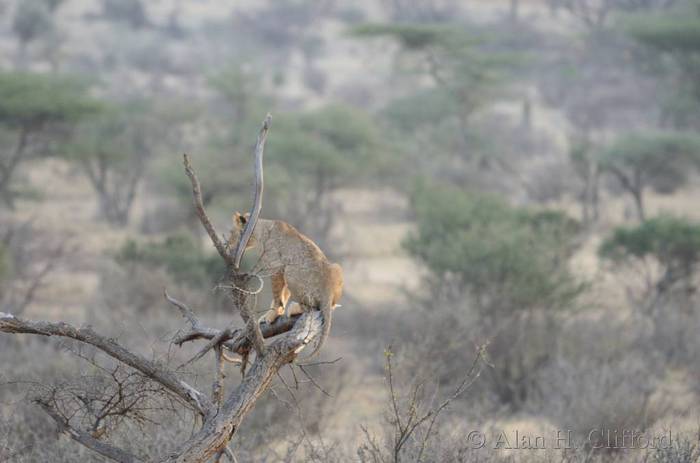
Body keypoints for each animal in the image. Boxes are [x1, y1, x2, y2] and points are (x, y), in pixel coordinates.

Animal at [227, 212, 342, 358]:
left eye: (231, 232)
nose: (227, 244)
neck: (261, 229)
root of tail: (327, 291)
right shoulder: (281, 271)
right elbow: (283, 294)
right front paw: (271, 314)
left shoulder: (277, 267)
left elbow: (277, 295)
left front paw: (272, 314)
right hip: (336, 267)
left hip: (291, 271)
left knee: (311, 307)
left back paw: (293, 308)